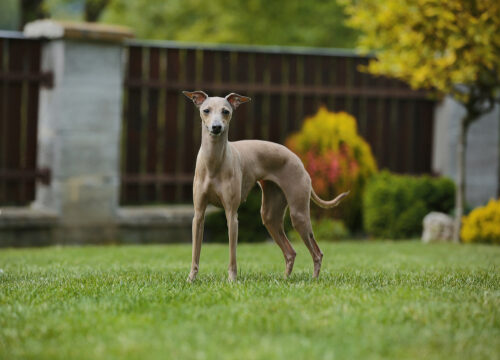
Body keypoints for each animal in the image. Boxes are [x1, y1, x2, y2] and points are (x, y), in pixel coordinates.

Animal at [183, 90, 348, 282]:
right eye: (206, 110)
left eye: (226, 111)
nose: (216, 127)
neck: (214, 162)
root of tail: (299, 161)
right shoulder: (198, 215)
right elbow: (195, 252)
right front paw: (191, 279)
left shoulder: (232, 215)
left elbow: (232, 254)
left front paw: (232, 280)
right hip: (270, 215)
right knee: (290, 252)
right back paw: (285, 279)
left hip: (298, 214)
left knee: (317, 253)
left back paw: (313, 280)